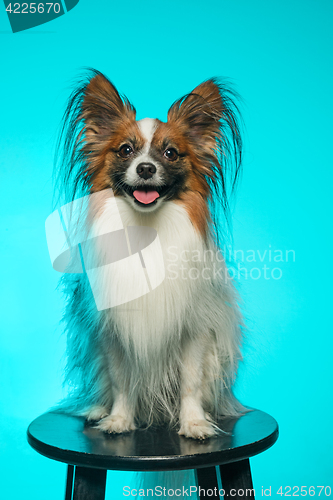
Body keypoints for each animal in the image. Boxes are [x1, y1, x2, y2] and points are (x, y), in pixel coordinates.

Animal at [55, 69, 244, 438]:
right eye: (125, 150)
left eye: (170, 153)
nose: (145, 169)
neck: (147, 228)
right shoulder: (113, 332)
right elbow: (121, 380)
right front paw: (119, 419)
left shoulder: (194, 331)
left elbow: (189, 381)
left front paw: (194, 423)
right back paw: (99, 410)